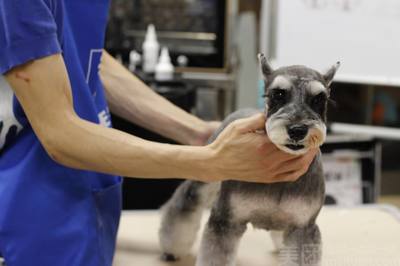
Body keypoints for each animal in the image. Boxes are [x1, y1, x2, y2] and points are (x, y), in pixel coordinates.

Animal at [158, 54, 340, 266]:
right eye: (278, 94)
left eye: (319, 98)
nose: (297, 130)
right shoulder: (225, 220)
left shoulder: (302, 227)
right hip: (204, 179)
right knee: (183, 205)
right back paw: (171, 248)